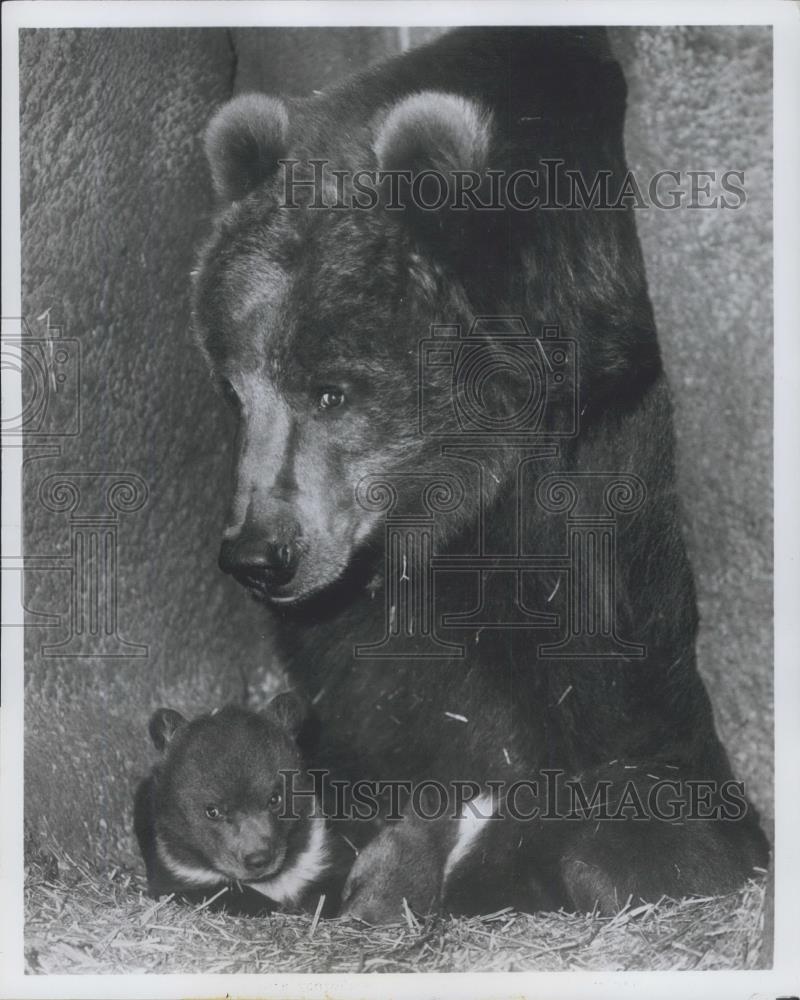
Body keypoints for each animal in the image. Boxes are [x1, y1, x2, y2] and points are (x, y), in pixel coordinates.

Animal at [192, 27, 769, 923]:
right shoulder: (438, 535)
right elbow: (420, 669)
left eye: (331, 387)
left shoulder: (631, 451)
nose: (258, 555)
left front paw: (650, 831)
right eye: (234, 385)